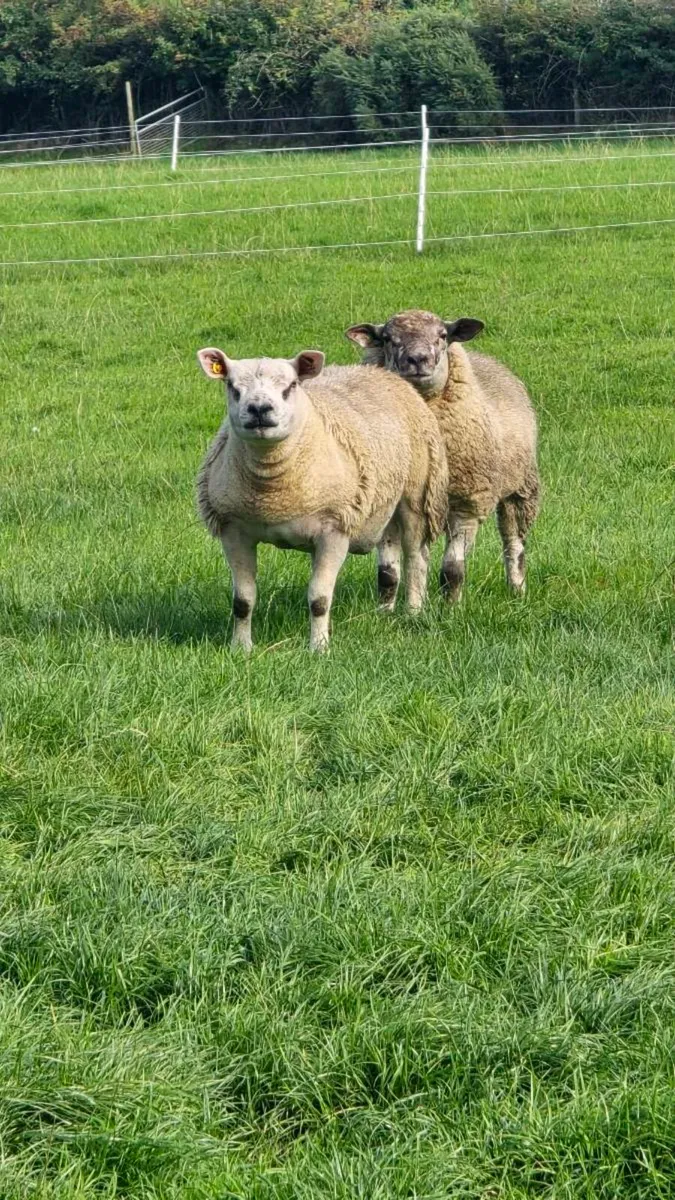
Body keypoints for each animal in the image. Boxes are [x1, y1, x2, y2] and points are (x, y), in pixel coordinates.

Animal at [196, 347, 448, 651]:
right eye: (232, 387)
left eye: (291, 386)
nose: (259, 409)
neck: (271, 493)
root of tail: (380, 372)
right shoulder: (234, 529)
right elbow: (242, 601)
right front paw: (241, 648)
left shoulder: (334, 530)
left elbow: (319, 599)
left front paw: (319, 648)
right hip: (382, 500)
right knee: (390, 557)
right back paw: (384, 612)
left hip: (416, 495)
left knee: (416, 558)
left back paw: (412, 611)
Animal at [346, 309, 540, 601]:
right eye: (387, 338)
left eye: (443, 335)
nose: (417, 359)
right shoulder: (391, 507)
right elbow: (388, 574)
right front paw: (385, 609)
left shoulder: (467, 503)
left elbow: (452, 570)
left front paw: (451, 608)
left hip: (519, 487)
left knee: (513, 540)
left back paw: (517, 589)